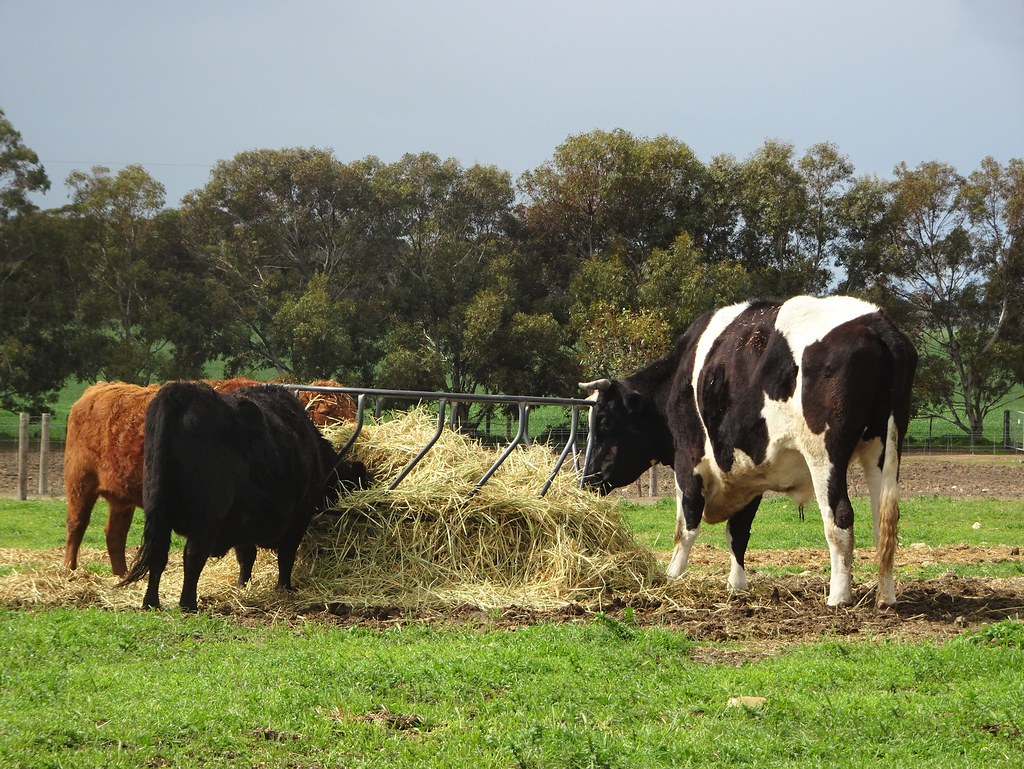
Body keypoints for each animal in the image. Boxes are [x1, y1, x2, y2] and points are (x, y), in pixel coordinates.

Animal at [63, 379, 356, 575]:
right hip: (80, 483)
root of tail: (96, 390)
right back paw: (69, 570)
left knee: (114, 533)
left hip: (121, 498)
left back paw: (121, 574)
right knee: (76, 525)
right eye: (330, 411)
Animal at [118, 382, 367, 611]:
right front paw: (284, 588)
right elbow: (286, 556)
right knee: (193, 554)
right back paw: (188, 604)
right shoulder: (298, 518)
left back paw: (151, 602)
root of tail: (182, 390)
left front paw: (242, 586)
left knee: (159, 553)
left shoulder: (242, 520)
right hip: (208, 515)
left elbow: (246, 556)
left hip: (159, 508)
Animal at [579, 295, 916, 609]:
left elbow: (686, 525)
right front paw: (737, 585)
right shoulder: (748, 474)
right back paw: (886, 596)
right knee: (884, 521)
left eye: (604, 420)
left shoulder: (688, 461)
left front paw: (671, 576)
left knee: (840, 517)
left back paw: (838, 596)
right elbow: (738, 531)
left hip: (824, 455)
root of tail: (875, 321)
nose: (586, 479)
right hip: (883, 448)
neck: (679, 378)